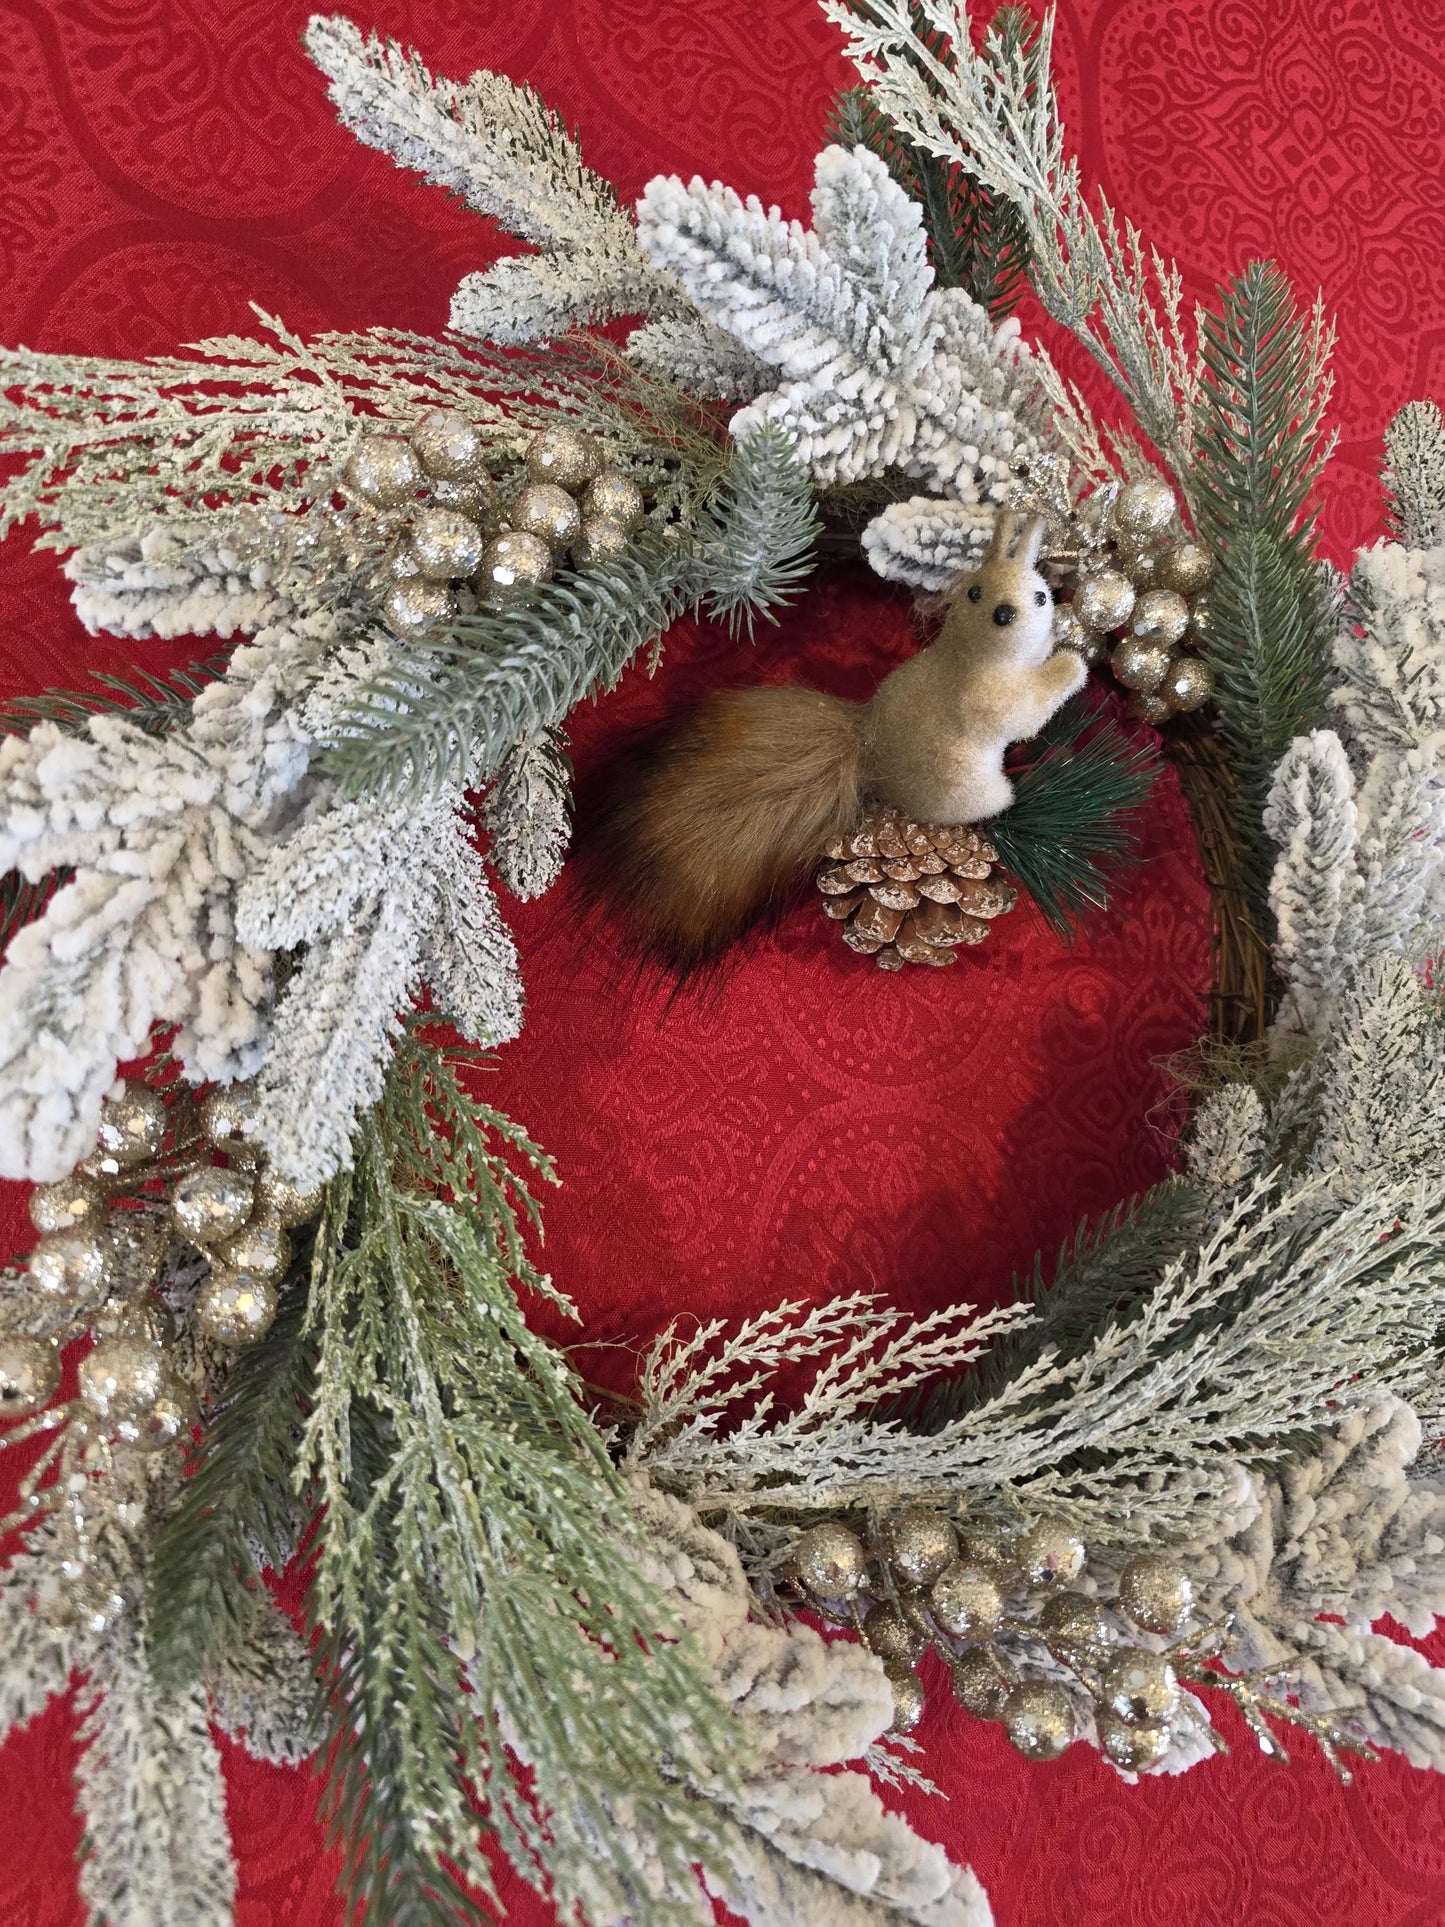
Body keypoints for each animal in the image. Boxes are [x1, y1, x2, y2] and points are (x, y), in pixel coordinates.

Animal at [584, 511, 1086, 972]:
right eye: (974, 591)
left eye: (1042, 596)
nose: (1006, 615)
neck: (976, 653)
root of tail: (868, 755)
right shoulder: (986, 699)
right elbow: (1023, 712)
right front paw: (1070, 665)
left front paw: (1053, 645)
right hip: (969, 787)